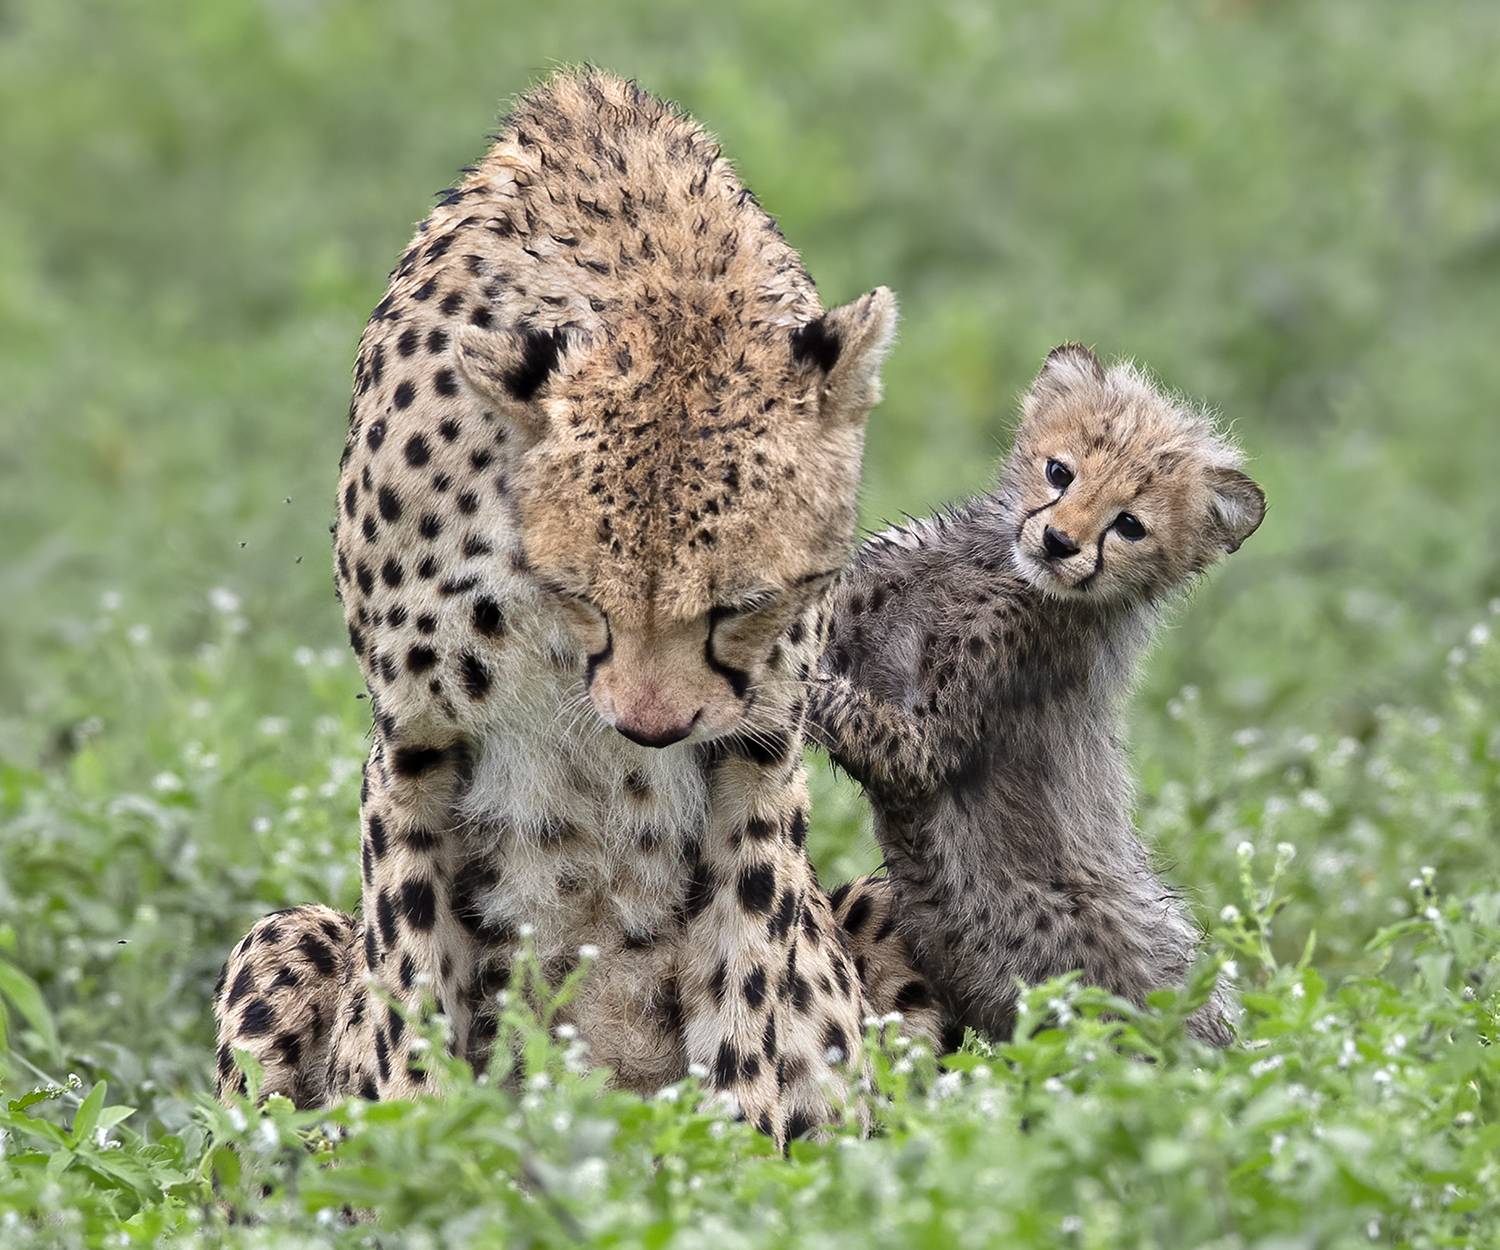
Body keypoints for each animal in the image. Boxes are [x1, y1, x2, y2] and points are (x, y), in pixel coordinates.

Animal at [211, 68, 939, 1145]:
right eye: (582, 592)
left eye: (745, 603)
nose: (651, 726)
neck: (662, 278)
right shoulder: (415, 735)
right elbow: (410, 977)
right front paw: (413, 1152)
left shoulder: (756, 747)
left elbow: (754, 969)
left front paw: (750, 1154)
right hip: (284, 932)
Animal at [807, 344, 1266, 1046]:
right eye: (1059, 472)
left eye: (1130, 524)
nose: (1058, 542)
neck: (994, 569)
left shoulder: (929, 739)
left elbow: (869, 726)